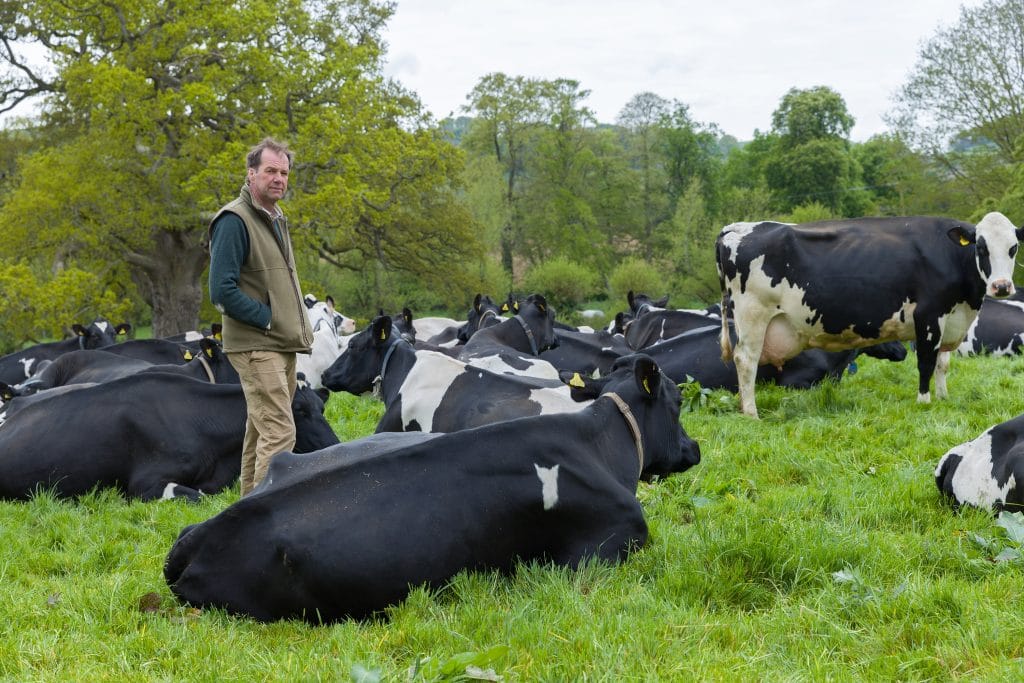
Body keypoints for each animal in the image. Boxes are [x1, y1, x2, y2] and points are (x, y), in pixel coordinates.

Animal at [716, 211, 1019, 417]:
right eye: (982, 247)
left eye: (1013, 248)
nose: (1002, 286)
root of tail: (735, 227)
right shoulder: (928, 315)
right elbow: (926, 363)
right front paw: (924, 402)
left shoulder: (949, 319)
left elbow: (942, 364)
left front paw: (943, 398)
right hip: (753, 314)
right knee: (746, 360)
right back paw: (751, 413)